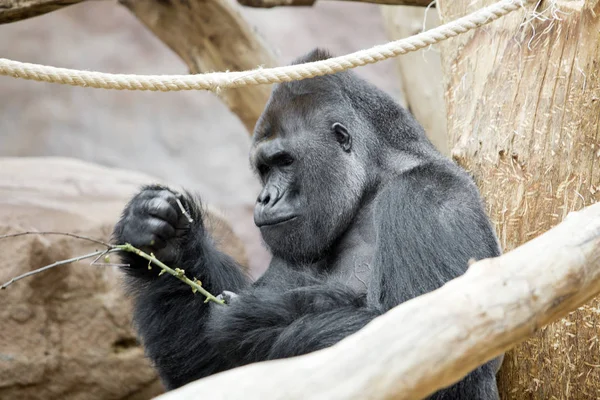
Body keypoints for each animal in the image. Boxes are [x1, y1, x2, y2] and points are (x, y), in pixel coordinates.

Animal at [112, 48, 502, 398]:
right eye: (264, 169)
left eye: (285, 161)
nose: (264, 198)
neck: (371, 183)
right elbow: (212, 375)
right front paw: (167, 243)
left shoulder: (429, 196)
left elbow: (436, 344)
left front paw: (256, 320)